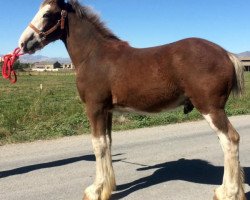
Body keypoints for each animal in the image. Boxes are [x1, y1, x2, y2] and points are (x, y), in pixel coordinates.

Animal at [18, 0, 245, 200]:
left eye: (47, 13)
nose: (23, 42)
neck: (94, 55)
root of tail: (226, 53)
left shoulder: (95, 108)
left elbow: (97, 145)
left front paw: (95, 190)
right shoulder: (107, 111)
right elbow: (108, 143)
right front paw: (108, 187)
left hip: (211, 108)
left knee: (230, 139)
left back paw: (229, 192)